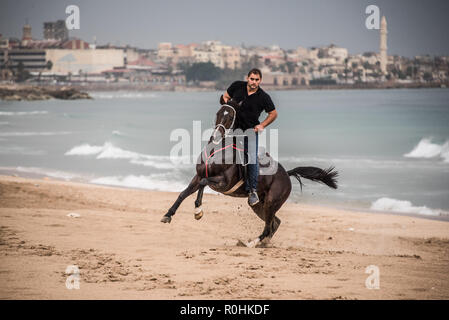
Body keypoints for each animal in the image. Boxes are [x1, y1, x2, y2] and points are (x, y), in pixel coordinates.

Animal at [159, 100, 338, 248]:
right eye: (218, 113)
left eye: (231, 116)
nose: (215, 136)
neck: (217, 151)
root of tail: (287, 175)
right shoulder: (197, 177)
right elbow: (183, 193)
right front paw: (168, 215)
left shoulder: (223, 183)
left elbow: (203, 183)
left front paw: (198, 211)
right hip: (259, 205)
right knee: (274, 223)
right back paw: (263, 243)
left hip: (271, 202)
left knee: (268, 226)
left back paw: (252, 243)